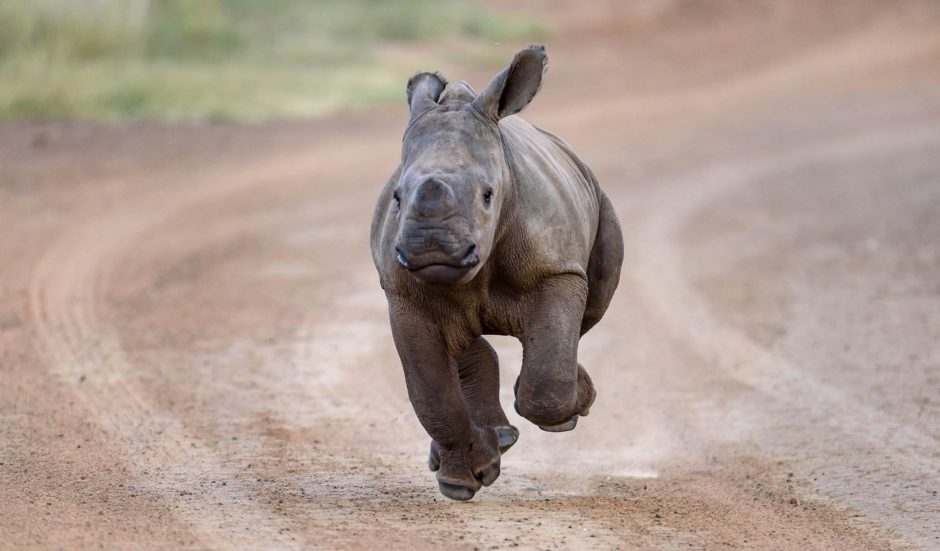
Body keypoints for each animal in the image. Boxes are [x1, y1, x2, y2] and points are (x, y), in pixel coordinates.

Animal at [370, 46, 624, 500]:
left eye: (488, 195)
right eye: (397, 197)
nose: (431, 247)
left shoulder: (556, 270)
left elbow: (547, 379)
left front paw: (562, 411)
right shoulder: (403, 293)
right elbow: (432, 397)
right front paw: (462, 480)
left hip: (597, 198)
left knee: (591, 307)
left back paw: (569, 402)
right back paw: (494, 441)